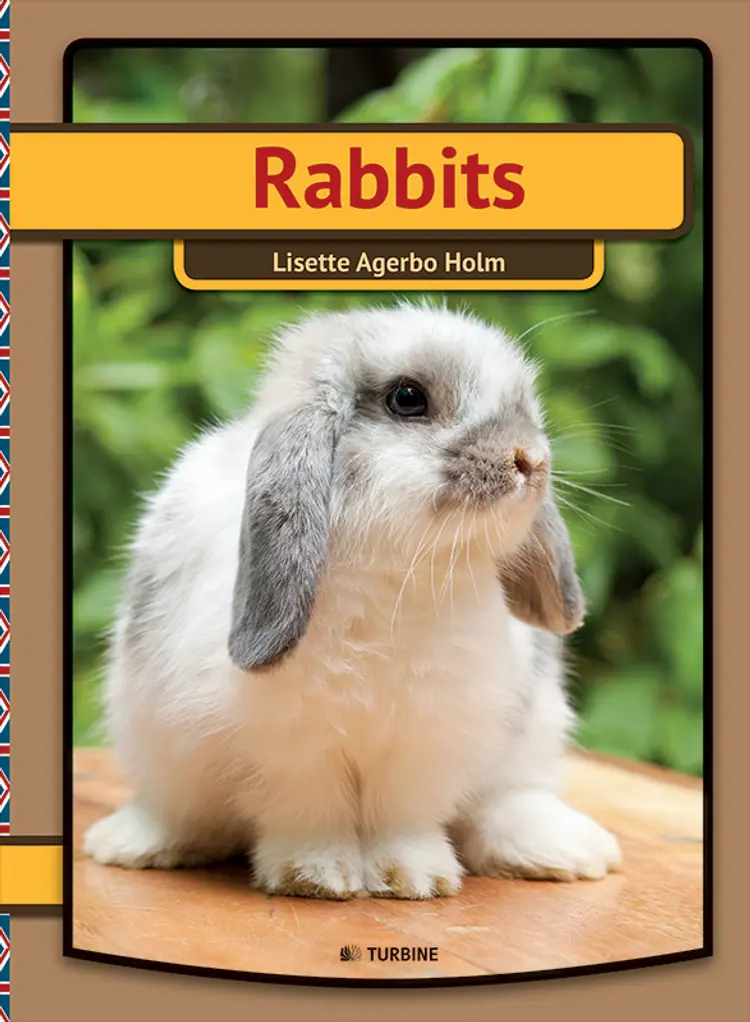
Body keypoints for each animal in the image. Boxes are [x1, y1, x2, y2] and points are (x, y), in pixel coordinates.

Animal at [82, 302, 622, 900]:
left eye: (525, 404)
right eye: (408, 398)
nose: (530, 459)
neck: (391, 576)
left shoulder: (428, 738)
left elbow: (403, 817)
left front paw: (413, 877)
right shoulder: (290, 747)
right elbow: (309, 812)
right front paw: (317, 876)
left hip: (533, 736)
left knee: (506, 803)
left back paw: (566, 850)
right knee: (179, 812)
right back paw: (133, 844)